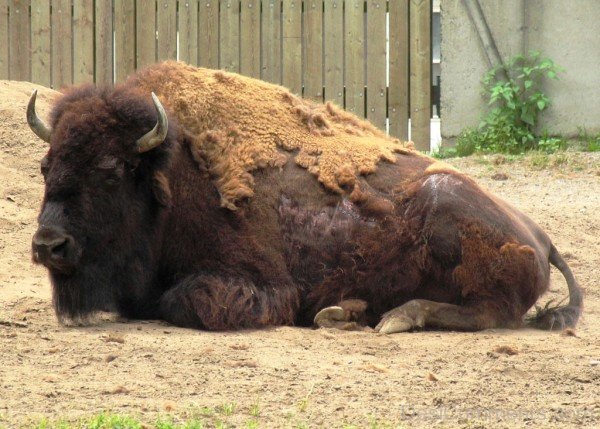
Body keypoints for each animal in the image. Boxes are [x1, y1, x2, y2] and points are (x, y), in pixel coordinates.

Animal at [27, 61, 580, 332]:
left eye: (111, 171)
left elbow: (182, 302)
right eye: (46, 165)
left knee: (490, 312)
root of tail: (539, 235)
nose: (48, 245)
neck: (173, 172)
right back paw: (347, 313)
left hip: (453, 226)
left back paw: (395, 317)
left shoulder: (256, 283)